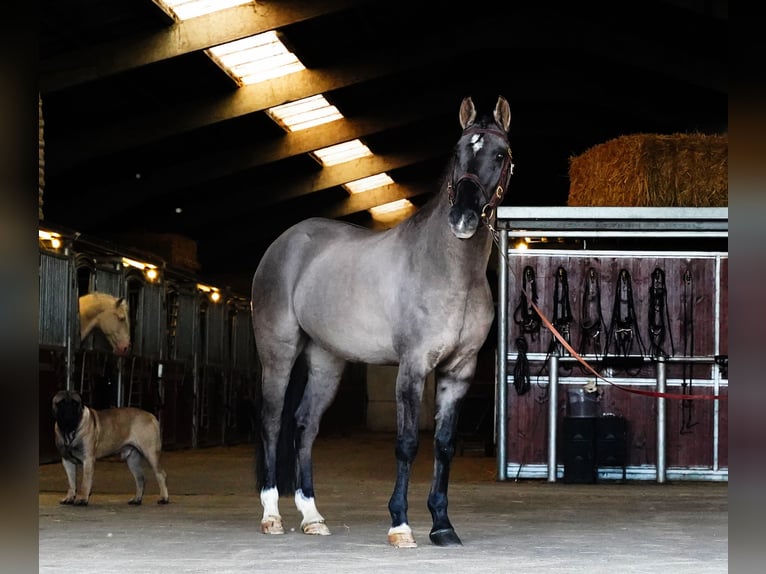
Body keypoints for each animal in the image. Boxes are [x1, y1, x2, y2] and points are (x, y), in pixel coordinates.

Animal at [254, 94, 516, 548]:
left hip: (326, 360)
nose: (463, 219)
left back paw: (312, 517)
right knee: (272, 421)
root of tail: (284, 243)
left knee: (305, 425)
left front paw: (442, 525)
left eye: (500, 154)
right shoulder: (412, 367)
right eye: (458, 152)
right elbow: (407, 443)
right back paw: (272, 515)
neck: (450, 270)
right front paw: (400, 525)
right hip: (279, 353)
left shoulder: (459, 371)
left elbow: (444, 445)